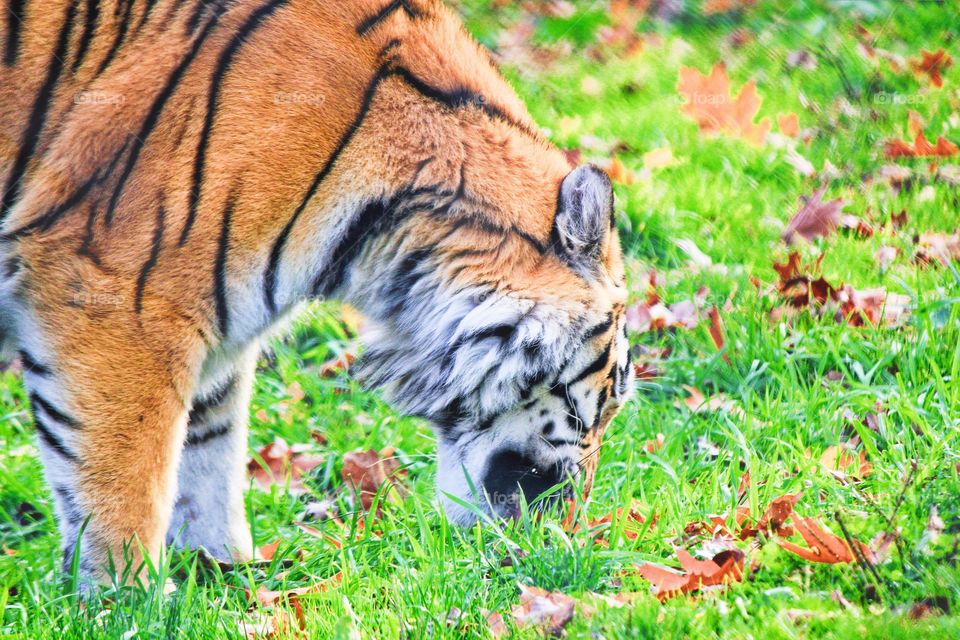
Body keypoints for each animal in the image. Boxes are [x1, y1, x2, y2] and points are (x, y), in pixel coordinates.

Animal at [0, 0, 634, 585]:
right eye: (605, 401)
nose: (570, 525)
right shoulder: (116, 297)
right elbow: (125, 480)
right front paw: (128, 601)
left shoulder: (215, 330)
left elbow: (208, 460)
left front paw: (225, 576)